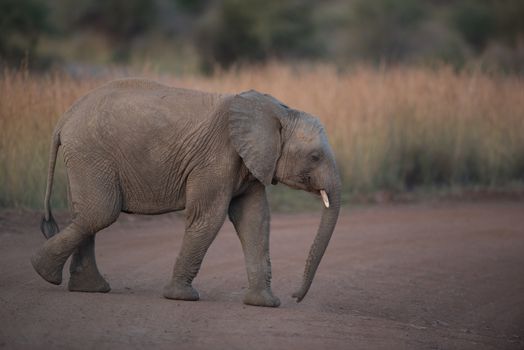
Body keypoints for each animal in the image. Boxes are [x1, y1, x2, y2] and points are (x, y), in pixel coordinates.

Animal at [30, 78, 342, 306]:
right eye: (315, 157)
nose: (295, 297)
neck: (278, 111)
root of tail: (66, 116)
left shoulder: (251, 163)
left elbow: (254, 220)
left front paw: (265, 304)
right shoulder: (217, 158)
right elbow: (209, 218)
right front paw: (182, 297)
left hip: (86, 157)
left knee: (87, 213)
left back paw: (88, 288)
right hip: (91, 153)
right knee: (101, 212)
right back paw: (43, 272)